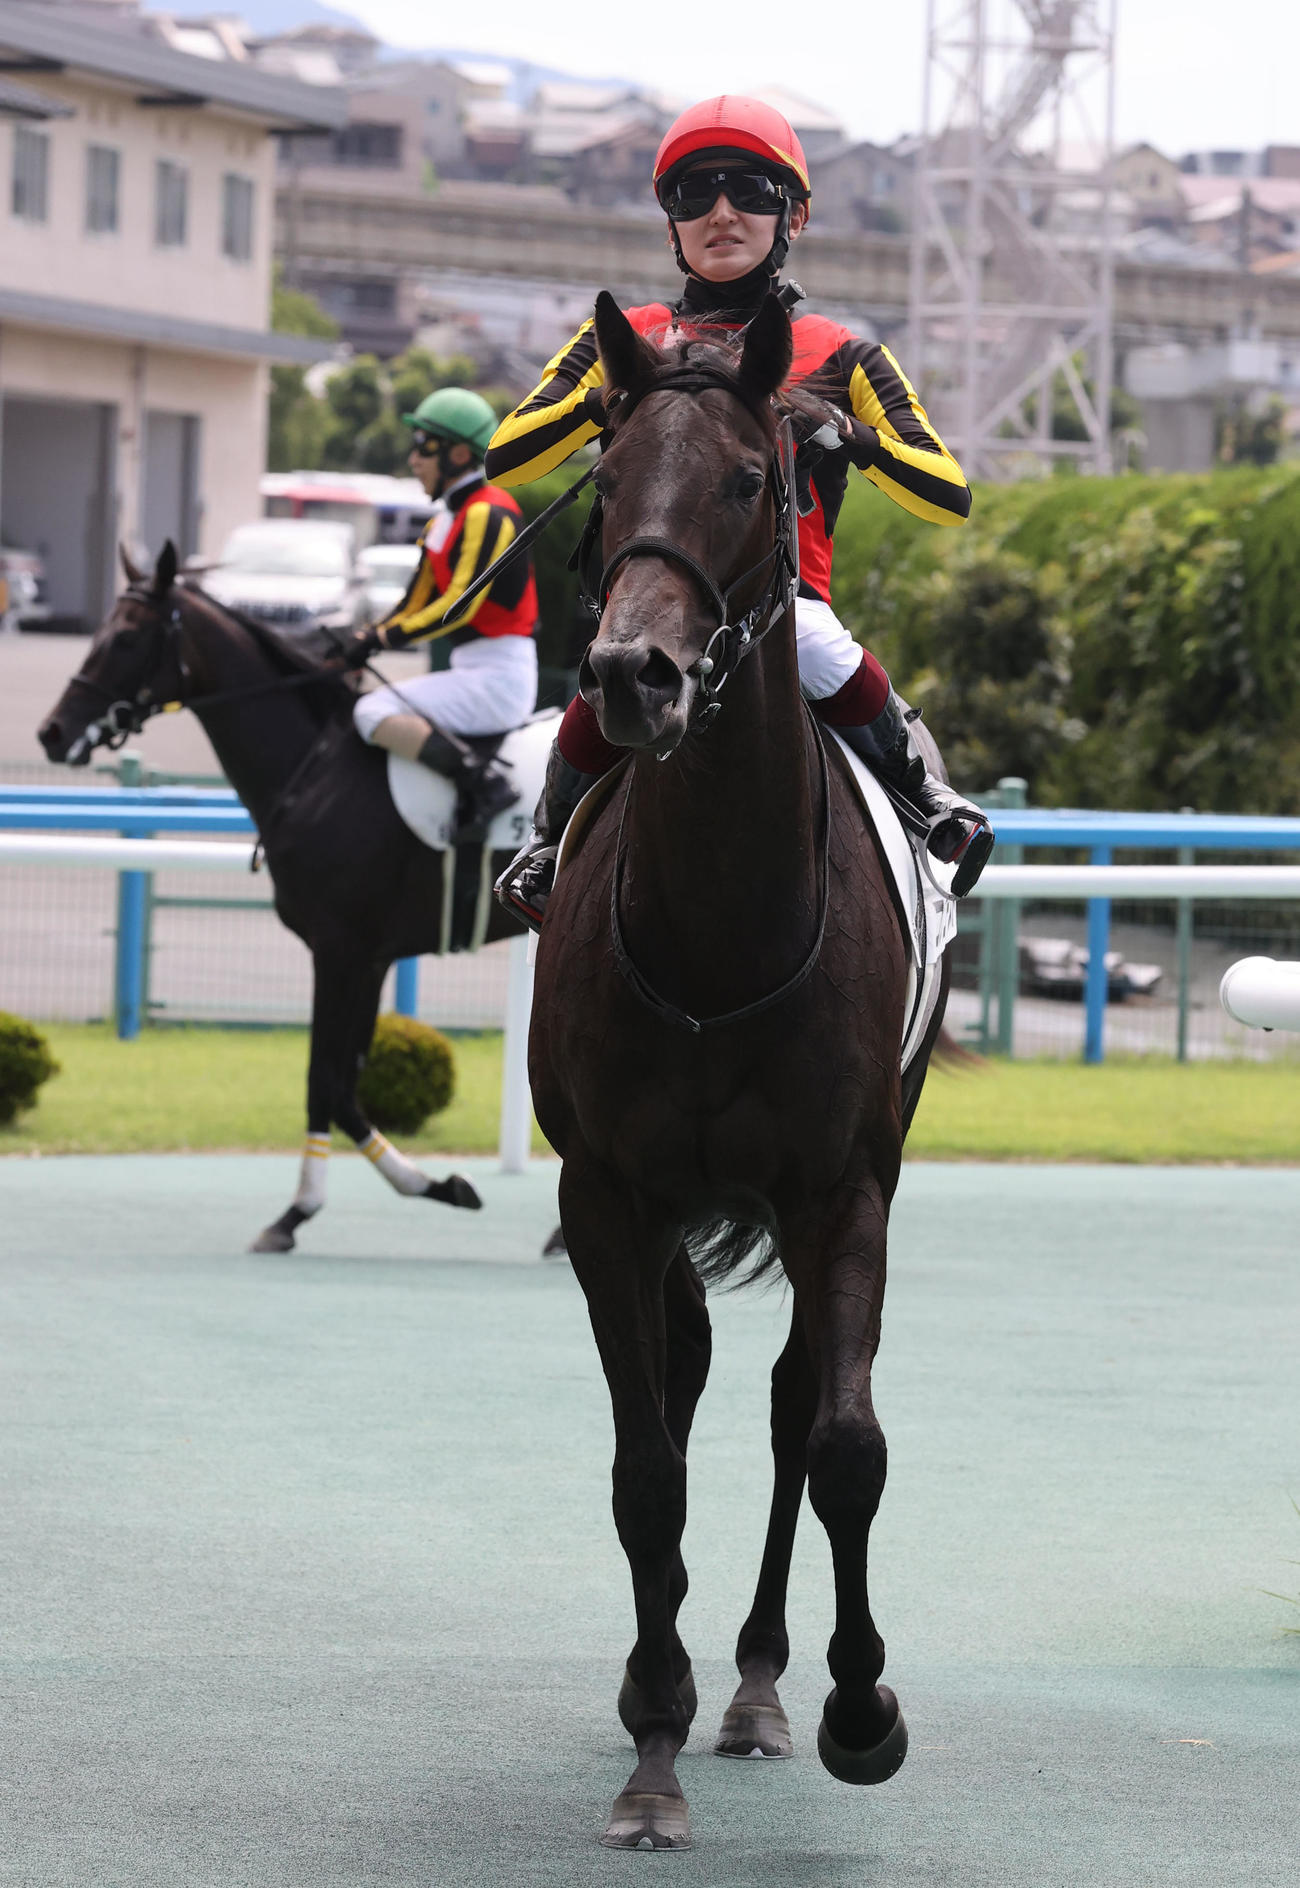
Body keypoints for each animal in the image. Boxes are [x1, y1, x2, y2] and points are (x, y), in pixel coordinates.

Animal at [37, 545, 528, 1252]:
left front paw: (299, 1210)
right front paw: (437, 1185)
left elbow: (324, 1080)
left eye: (125, 637)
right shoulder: (369, 957)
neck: (320, 769)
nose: (53, 733)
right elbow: (346, 1084)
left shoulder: (338, 949)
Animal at [531, 291, 955, 1851]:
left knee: (782, 1402)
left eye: (750, 479)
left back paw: (767, 1686)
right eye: (605, 474)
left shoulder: (842, 1188)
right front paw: (650, 1742)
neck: (719, 927)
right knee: (693, 1380)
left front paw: (860, 1707)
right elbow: (645, 1467)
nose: (629, 676)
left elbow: (842, 1444)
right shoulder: (609, 1194)